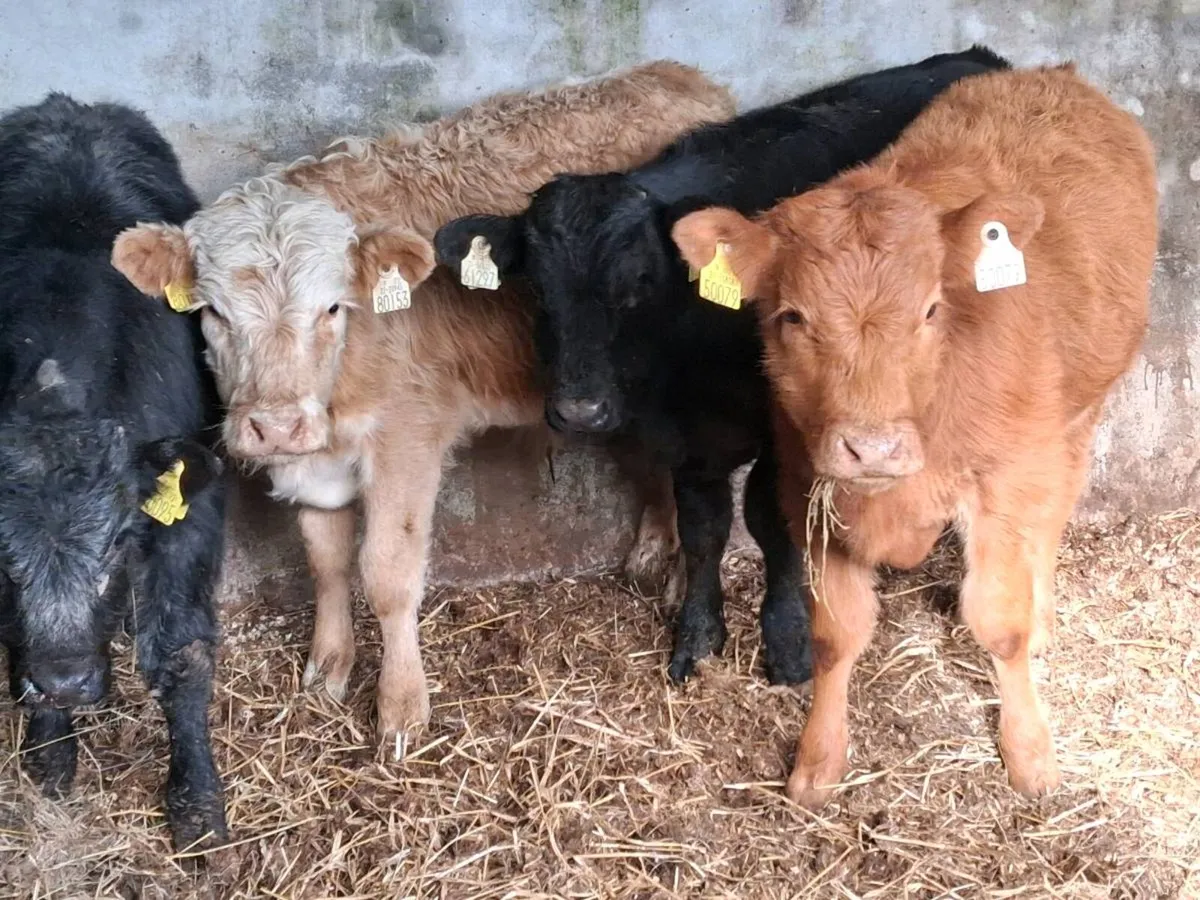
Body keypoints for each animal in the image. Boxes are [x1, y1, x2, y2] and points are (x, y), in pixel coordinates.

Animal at [0, 95, 228, 850]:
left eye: (116, 549)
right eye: (5, 563)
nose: (67, 682)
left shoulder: (193, 511)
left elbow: (182, 656)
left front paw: (197, 804)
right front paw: (49, 752)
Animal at [110, 62, 735, 754]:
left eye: (333, 306)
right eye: (213, 313)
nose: (274, 425)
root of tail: (674, 74)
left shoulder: (407, 437)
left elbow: (387, 573)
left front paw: (401, 709)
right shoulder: (313, 462)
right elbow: (326, 563)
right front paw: (328, 669)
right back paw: (652, 551)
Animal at [435, 48, 1009, 688]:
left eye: (640, 281)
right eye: (536, 286)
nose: (580, 409)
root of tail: (976, 58)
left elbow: (769, 521)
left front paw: (787, 641)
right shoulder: (686, 438)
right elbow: (703, 526)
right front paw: (698, 633)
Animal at [670, 64, 1157, 807]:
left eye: (931, 309)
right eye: (791, 317)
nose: (872, 448)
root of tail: (1054, 76)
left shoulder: (1006, 480)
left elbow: (1001, 623)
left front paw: (1029, 754)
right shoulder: (809, 488)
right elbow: (834, 634)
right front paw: (818, 761)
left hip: (1078, 416)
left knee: (1054, 515)